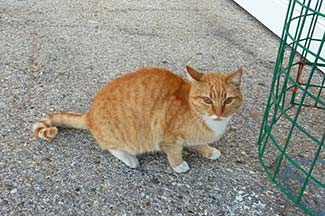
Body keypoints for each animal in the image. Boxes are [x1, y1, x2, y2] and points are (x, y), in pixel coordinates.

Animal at [33, 66, 242, 172]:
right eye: (207, 100)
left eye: (228, 100)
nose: (219, 113)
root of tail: (89, 114)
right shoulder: (168, 137)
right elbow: (174, 152)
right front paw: (178, 165)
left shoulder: (195, 137)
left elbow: (200, 144)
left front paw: (209, 151)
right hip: (123, 137)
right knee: (110, 147)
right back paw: (129, 158)